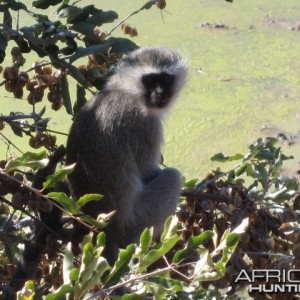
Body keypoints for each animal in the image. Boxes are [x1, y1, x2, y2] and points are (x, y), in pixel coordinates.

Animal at [67, 45, 186, 264]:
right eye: (149, 80)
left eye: (165, 79)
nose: (159, 93)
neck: (126, 91)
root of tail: (106, 233)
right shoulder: (146, 124)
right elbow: (146, 171)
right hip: (138, 223)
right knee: (173, 176)